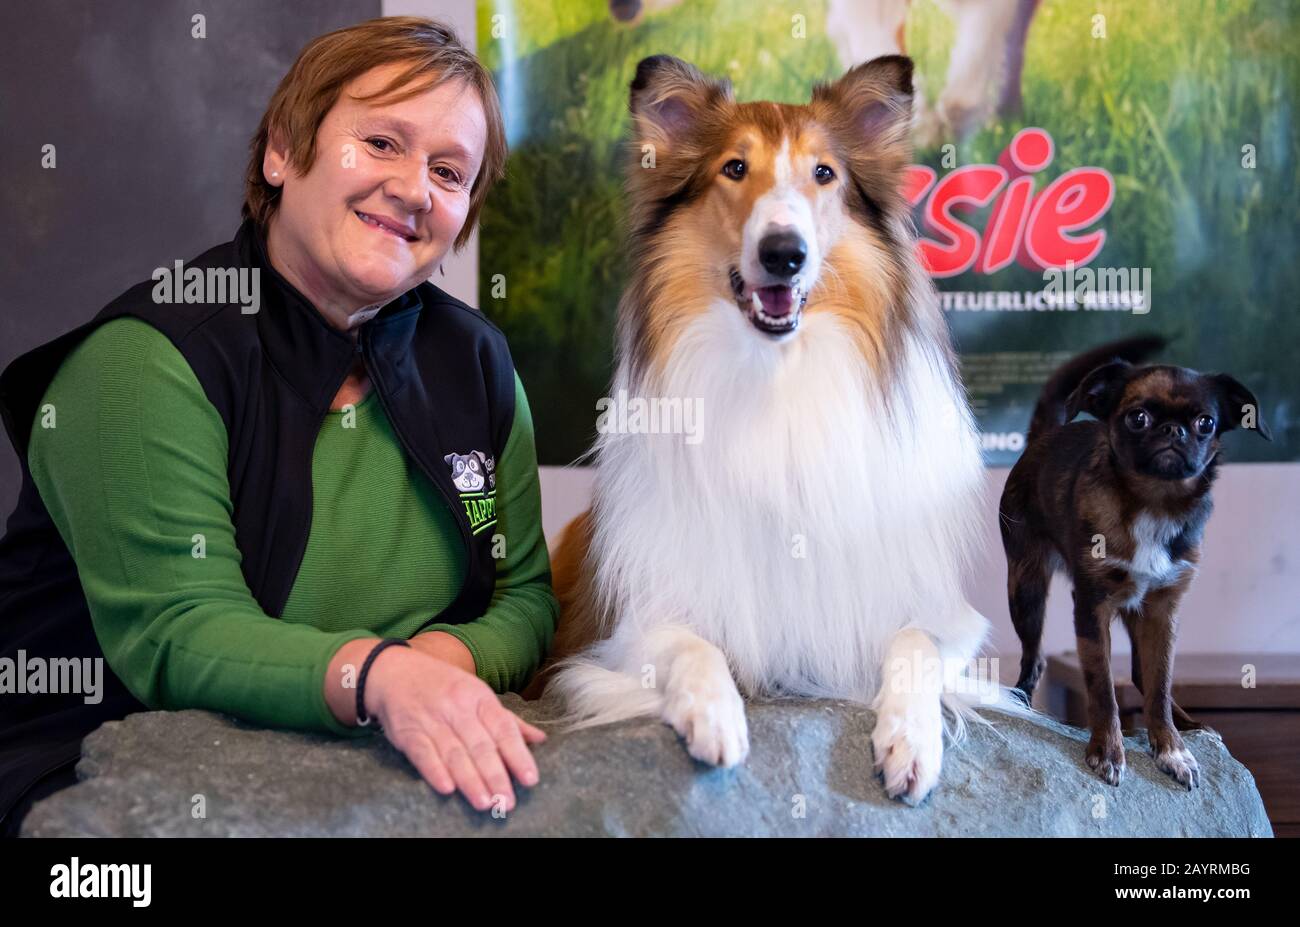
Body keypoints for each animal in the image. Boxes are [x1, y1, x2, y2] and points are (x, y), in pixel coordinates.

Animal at [533, 52, 998, 800]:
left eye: (825, 173)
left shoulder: (949, 621)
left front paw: (911, 741)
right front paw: (715, 717)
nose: (785, 253)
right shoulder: (623, 628)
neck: (777, 378)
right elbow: (692, 644)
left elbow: (915, 644)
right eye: (733, 168)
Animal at [1003, 338, 1268, 790]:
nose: (1174, 430)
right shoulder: (1092, 609)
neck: (1153, 503)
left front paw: (1171, 748)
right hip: (1025, 588)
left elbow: (1159, 684)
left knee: (1146, 676)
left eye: (1205, 423)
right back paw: (1020, 696)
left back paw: (1188, 722)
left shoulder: (1162, 610)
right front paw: (1107, 750)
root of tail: (1044, 436)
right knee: (1033, 657)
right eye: (1138, 418)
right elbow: (1103, 688)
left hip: (1134, 610)